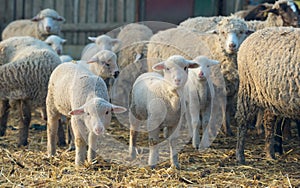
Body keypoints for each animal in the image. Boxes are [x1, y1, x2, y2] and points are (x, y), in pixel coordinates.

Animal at [236, 26, 300, 164]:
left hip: (272, 96)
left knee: (269, 122)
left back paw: (270, 154)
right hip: (248, 89)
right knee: (243, 121)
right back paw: (240, 157)